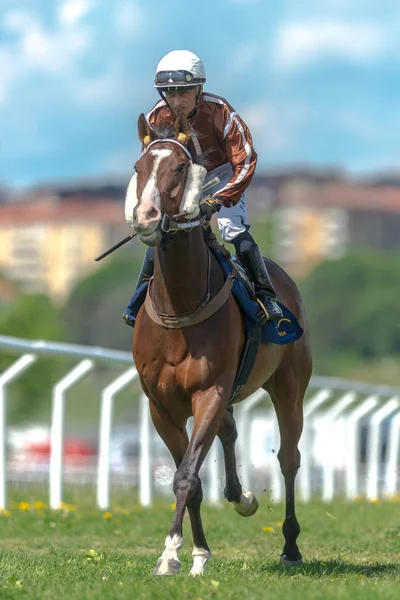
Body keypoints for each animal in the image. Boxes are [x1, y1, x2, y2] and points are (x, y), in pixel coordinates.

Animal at [126, 111, 312, 576]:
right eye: (139, 167)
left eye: (179, 168)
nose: (146, 216)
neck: (180, 304)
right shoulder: (160, 404)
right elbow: (188, 478)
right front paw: (192, 553)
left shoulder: (209, 390)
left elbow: (187, 474)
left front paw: (171, 553)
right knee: (229, 431)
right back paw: (241, 497)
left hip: (289, 387)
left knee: (289, 459)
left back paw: (290, 545)